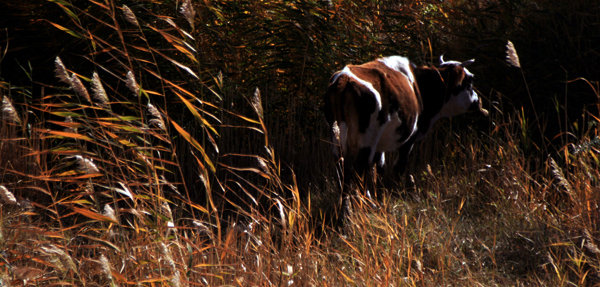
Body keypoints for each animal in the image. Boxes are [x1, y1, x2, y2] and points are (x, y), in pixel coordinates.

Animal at [324, 55, 488, 192]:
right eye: (470, 80)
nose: (478, 101)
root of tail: (344, 79)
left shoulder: (380, 145)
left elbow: (380, 168)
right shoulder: (410, 138)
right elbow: (398, 168)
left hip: (336, 139)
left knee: (342, 173)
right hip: (366, 141)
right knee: (359, 172)